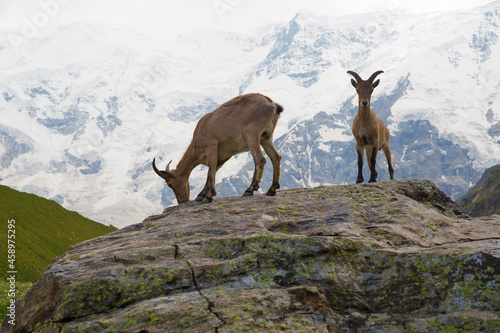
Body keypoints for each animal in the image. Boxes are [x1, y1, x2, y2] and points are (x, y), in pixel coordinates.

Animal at [152, 92, 284, 204]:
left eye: (170, 184)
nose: (182, 201)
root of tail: (273, 104)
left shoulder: (211, 148)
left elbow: (211, 171)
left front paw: (208, 196)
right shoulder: (224, 156)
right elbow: (212, 170)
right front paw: (201, 195)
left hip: (252, 135)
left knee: (260, 159)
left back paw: (250, 189)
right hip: (265, 137)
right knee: (275, 157)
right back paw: (272, 189)